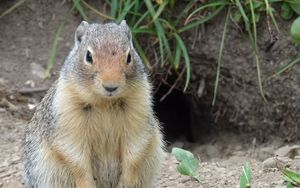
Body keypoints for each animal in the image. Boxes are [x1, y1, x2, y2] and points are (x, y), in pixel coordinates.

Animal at [22, 20, 164, 188]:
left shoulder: (139, 113)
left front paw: (126, 182)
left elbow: (135, 150)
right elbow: (76, 158)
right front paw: (87, 184)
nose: (111, 86)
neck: (105, 102)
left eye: (129, 56)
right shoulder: (67, 120)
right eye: (88, 56)